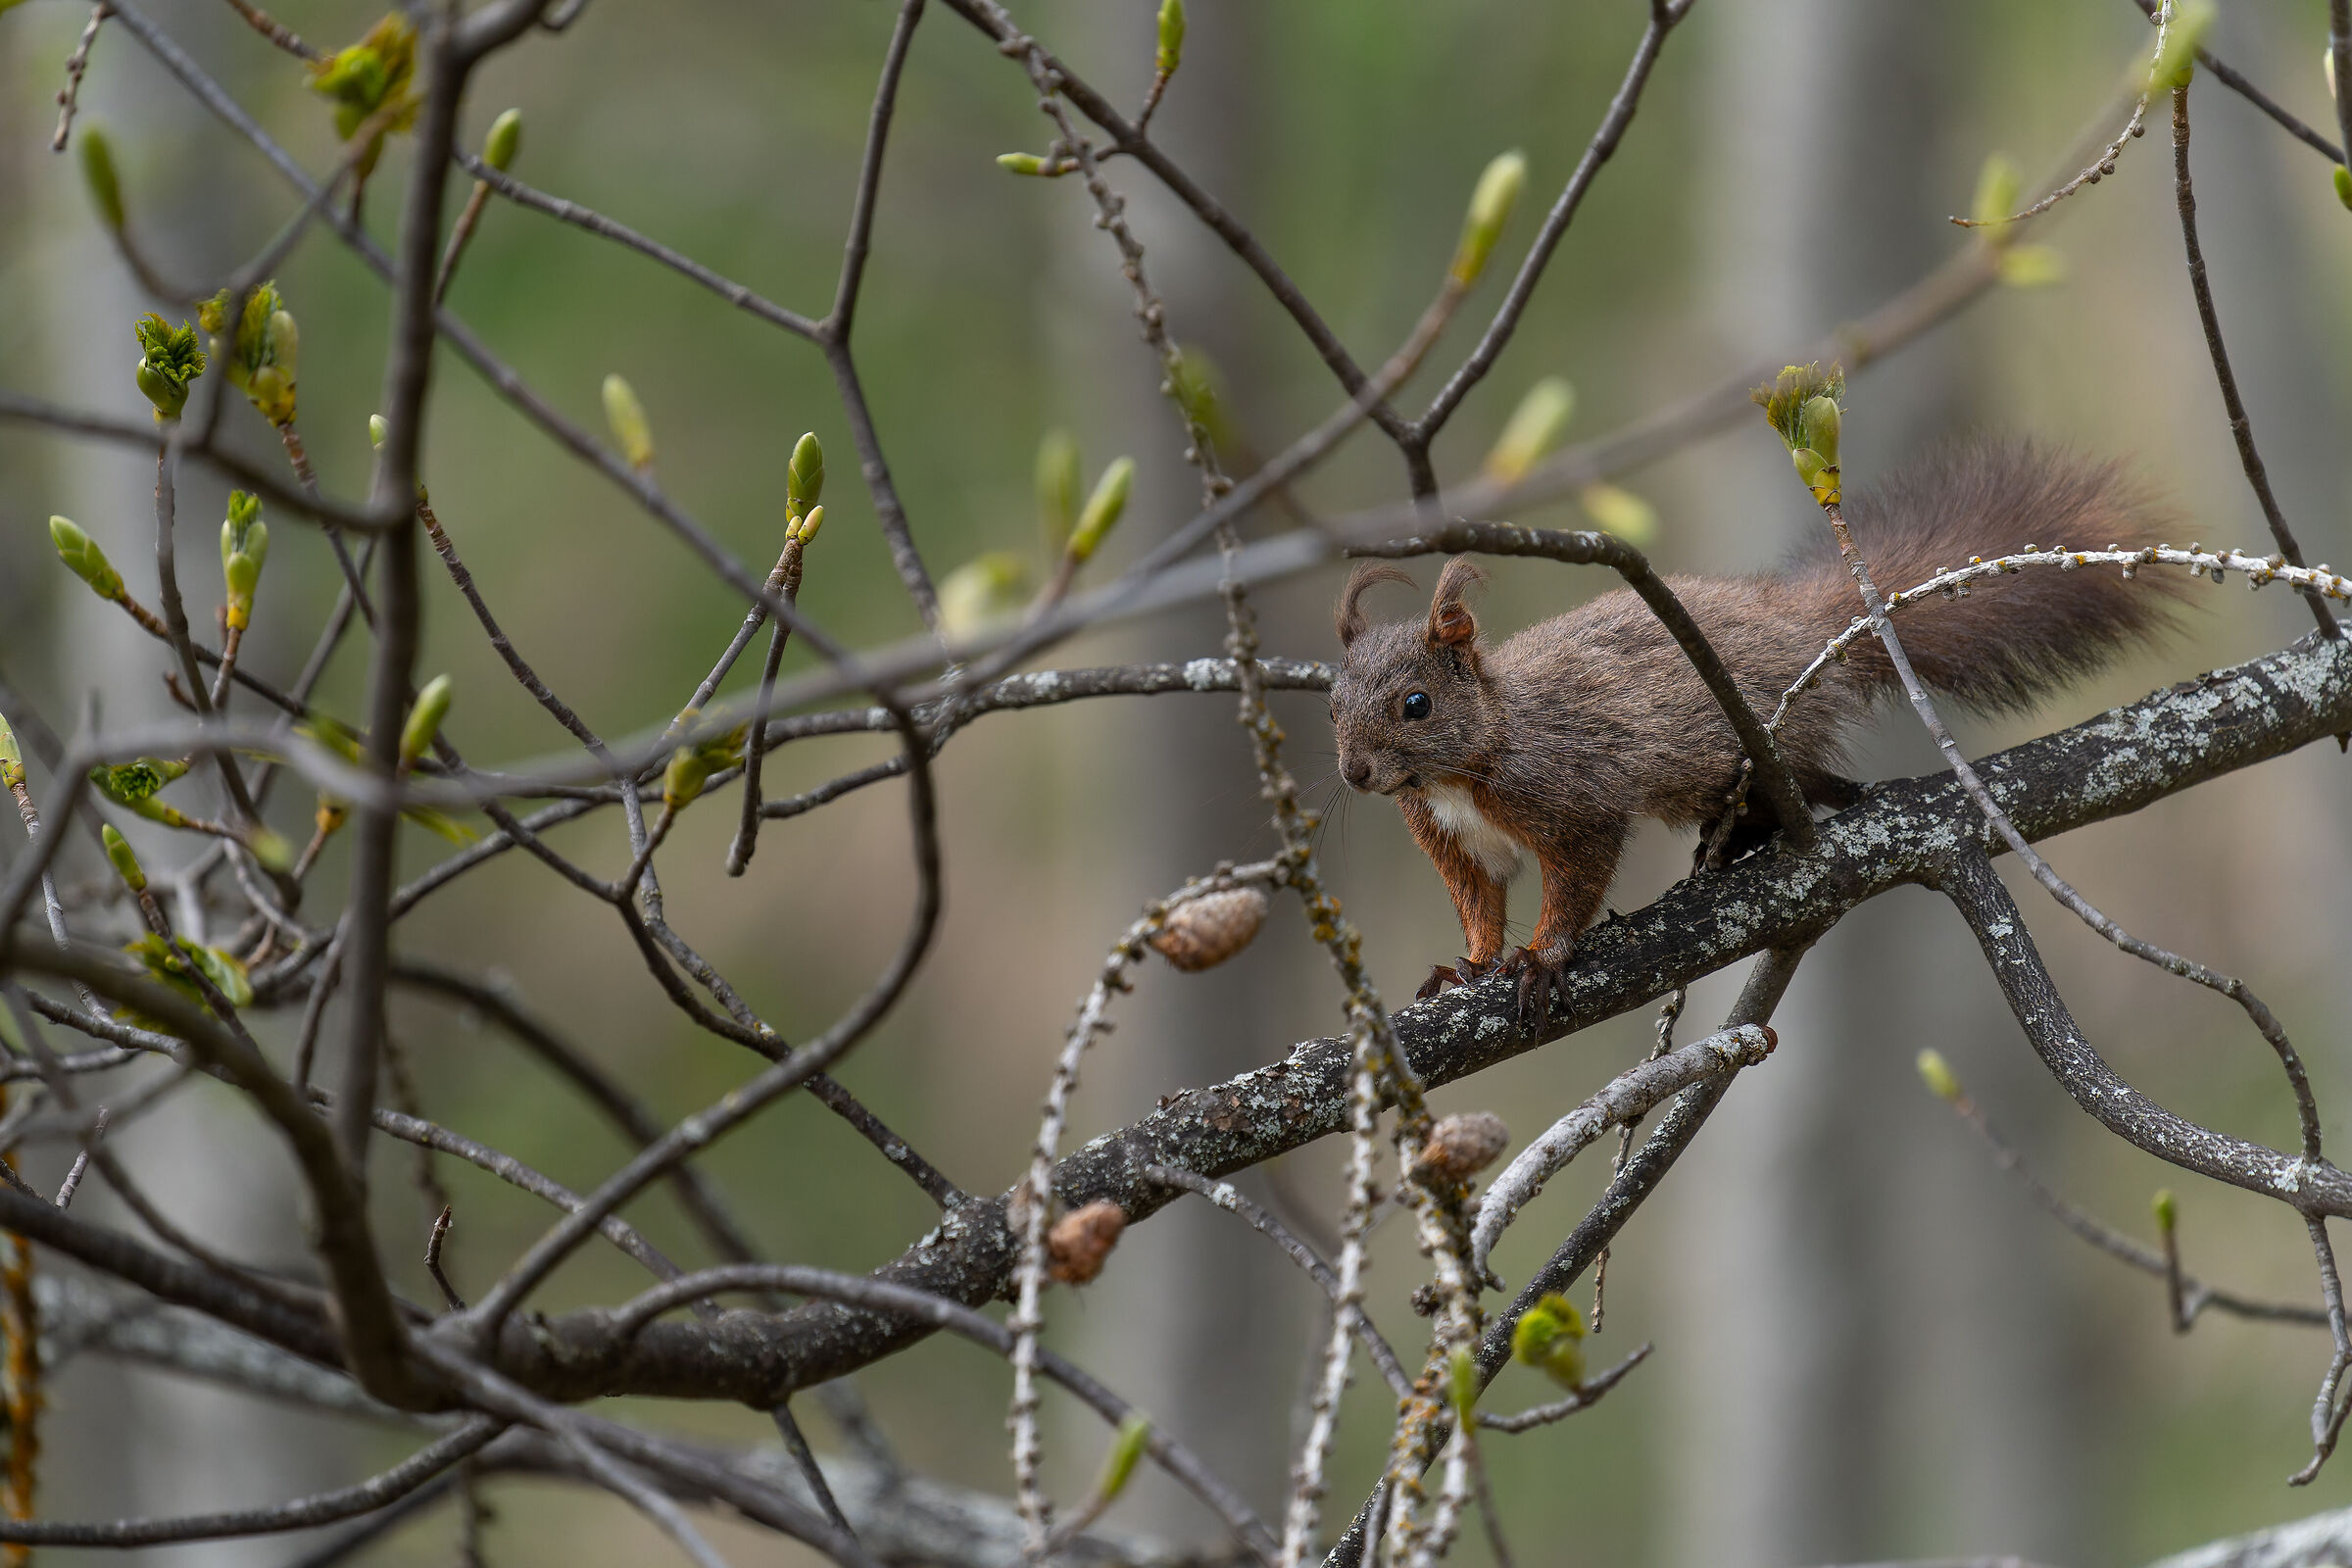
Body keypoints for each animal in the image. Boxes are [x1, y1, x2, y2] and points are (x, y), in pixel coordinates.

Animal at [1328, 439, 2185, 1025]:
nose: (1354, 774)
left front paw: (1541, 957)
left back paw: (1781, 820)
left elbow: (1575, 881)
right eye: (1331, 702)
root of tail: (1803, 627)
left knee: (1812, 784)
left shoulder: (1571, 797)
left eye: (1416, 705)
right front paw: (1468, 968)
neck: (1464, 766)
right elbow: (1479, 905)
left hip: (1752, 745)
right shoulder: (1455, 843)